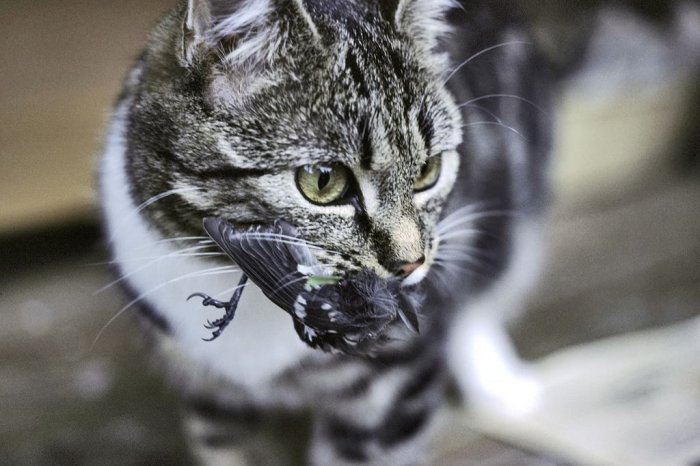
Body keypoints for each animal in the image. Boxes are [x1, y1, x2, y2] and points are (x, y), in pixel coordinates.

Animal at [100, 0, 552, 464]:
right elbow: (223, 445)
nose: (410, 264)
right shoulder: (208, 398)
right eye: (323, 180)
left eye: (428, 171)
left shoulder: (395, 385)